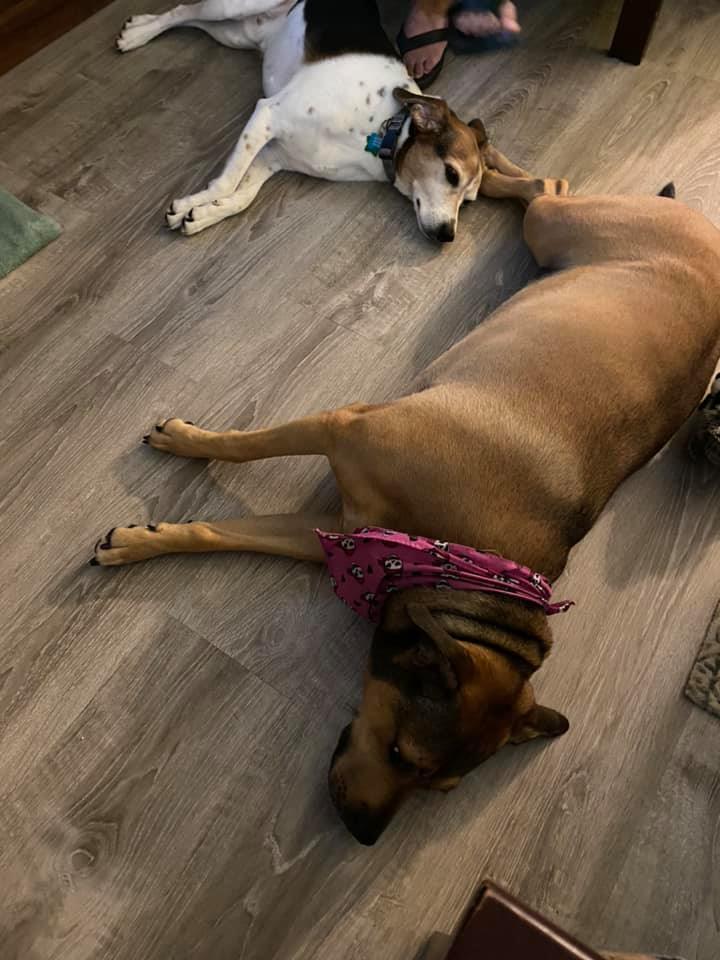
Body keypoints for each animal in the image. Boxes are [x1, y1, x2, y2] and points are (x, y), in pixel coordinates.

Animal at [91, 186, 720, 844]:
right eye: (400, 754)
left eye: (435, 788)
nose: (363, 834)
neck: (460, 559)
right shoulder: (342, 427)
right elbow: (240, 447)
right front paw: (183, 443)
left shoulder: (335, 535)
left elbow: (221, 530)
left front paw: (140, 538)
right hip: (553, 226)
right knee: (546, 188)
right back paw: (487, 172)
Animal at [115, 0, 567, 240]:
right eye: (451, 175)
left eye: (469, 201)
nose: (447, 237)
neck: (382, 132)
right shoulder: (268, 114)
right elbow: (228, 180)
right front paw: (191, 203)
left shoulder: (275, 155)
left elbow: (242, 194)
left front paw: (203, 213)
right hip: (239, 4)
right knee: (185, 9)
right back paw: (138, 33)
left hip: (240, 32)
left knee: (194, 18)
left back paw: (139, 29)